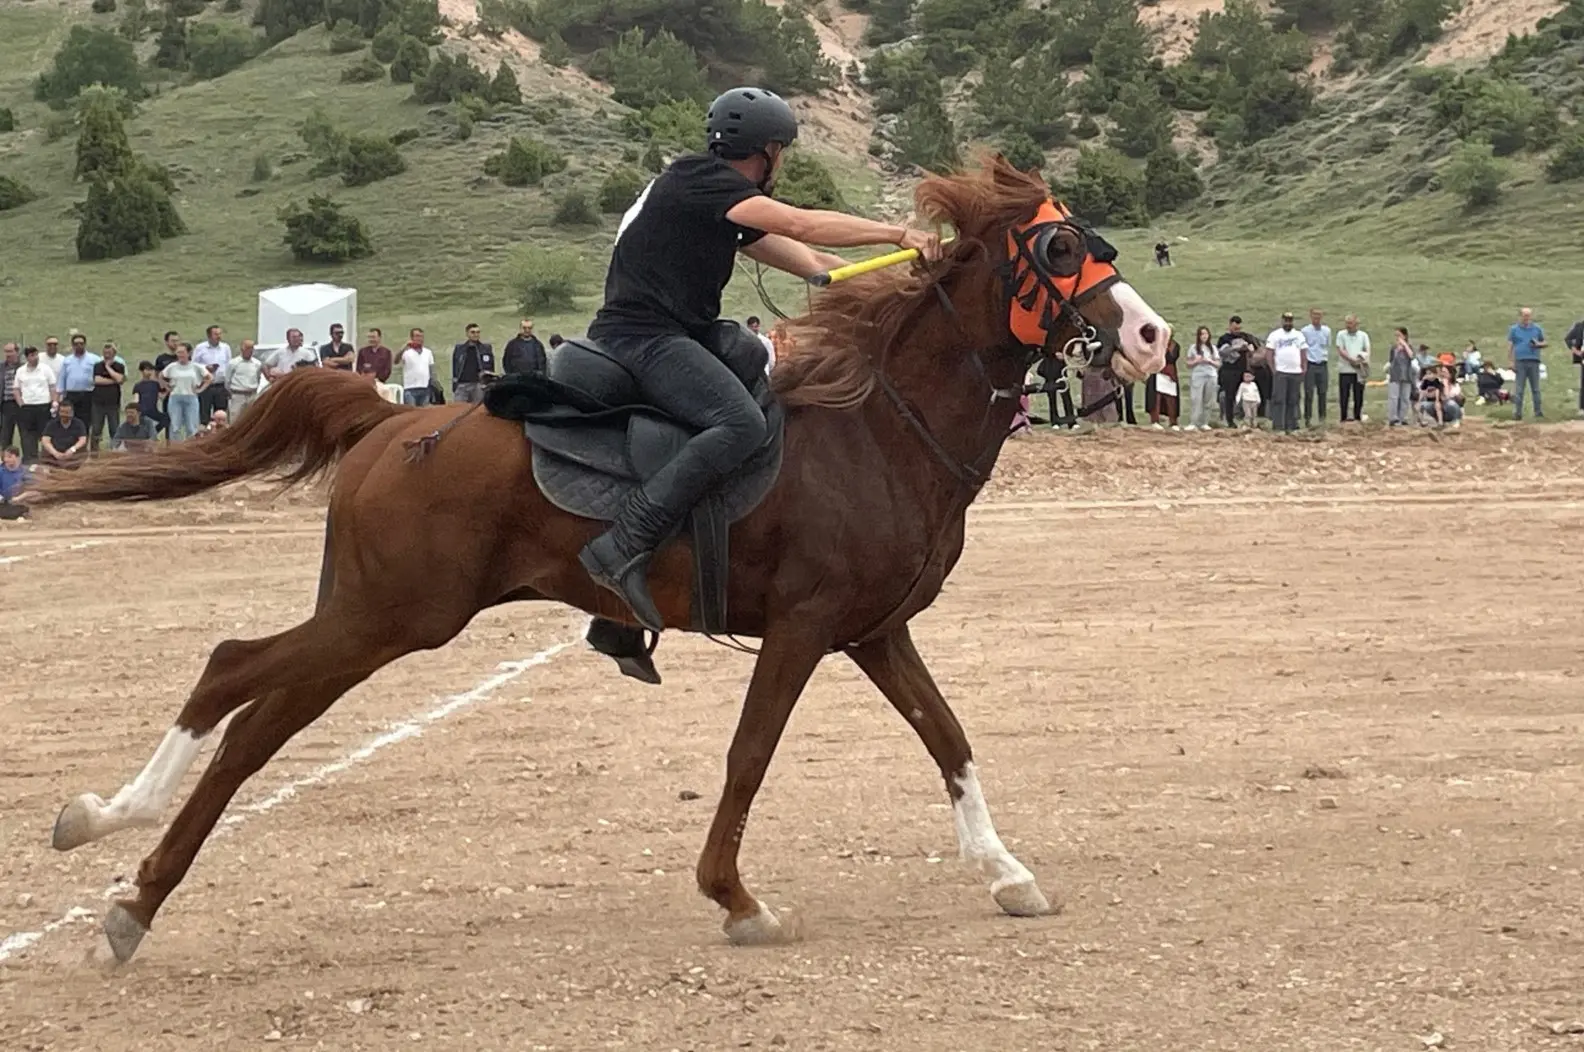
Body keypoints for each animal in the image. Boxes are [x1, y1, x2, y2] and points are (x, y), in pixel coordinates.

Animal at [34, 152, 1165, 963]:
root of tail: (390, 422)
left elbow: (949, 738)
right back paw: (114, 834)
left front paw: (1007, 872)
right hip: (391, 617)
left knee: (254, 722)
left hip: (370, 619)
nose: (1152, 336)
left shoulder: (874, 632)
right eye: (1059, 245)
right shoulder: (802, 630)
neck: (879, 425)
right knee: (232, 671)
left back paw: (132, 888)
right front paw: (736, 898)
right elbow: (750, 756)